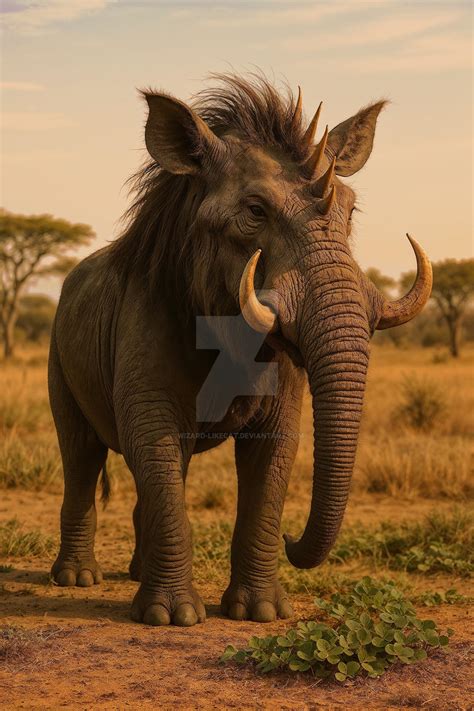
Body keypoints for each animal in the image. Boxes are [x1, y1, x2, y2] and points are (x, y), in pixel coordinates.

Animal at [49, 73, 432, 626]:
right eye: (254, 212)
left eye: (350, 210)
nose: (294, 540)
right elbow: (154, 448)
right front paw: (171, 619)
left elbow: (271, 462)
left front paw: (261, 614)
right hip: (58, 364)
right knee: (81, 459)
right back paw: (77, 579)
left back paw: (136, 574)